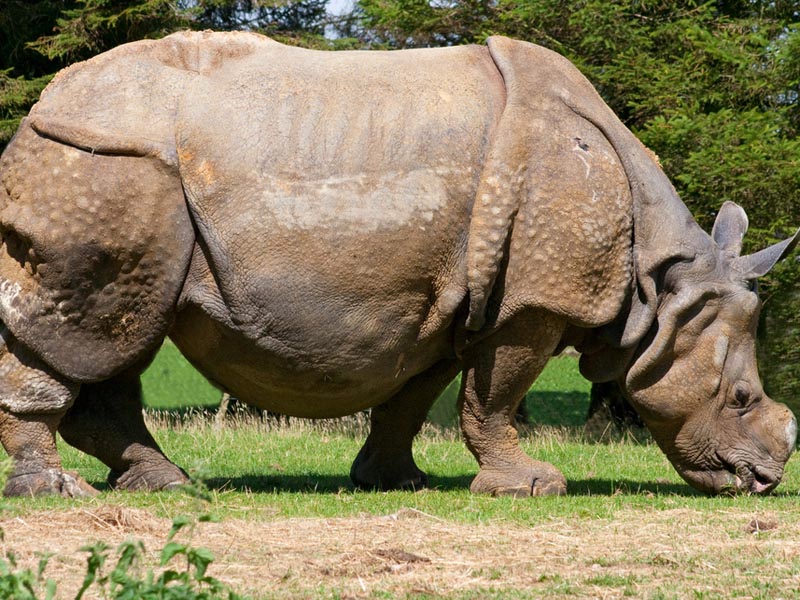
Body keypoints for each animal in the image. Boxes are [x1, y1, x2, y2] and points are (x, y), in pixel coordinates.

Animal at [0, 31, 797, 498]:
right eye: (740, 400)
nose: (763, 481)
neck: (661, 284)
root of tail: (38, 106)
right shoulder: (529, 303)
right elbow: (495, 395)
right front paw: (534, 486)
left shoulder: (448, 302)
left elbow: (417, 396)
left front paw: (394, 480)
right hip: (103, 168)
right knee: (88, 332)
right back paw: (58, 492)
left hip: (119, 175)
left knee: (115, 341)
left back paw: (166, 486)